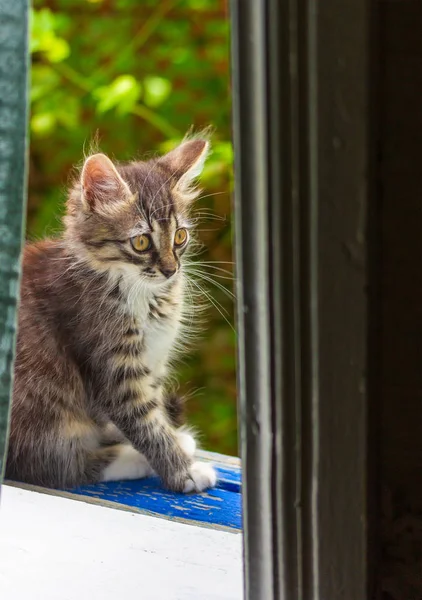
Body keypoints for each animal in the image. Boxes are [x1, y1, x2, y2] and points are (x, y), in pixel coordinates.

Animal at [5, 139, 218, 492]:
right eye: (141, 242)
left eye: (180, 237)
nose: (171, 270)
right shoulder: (114, 366)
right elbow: (146, 423)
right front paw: (184, 472)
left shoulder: (151, 363)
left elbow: (152, 407)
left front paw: (174, 439)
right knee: (55, 466)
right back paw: (131, 460)